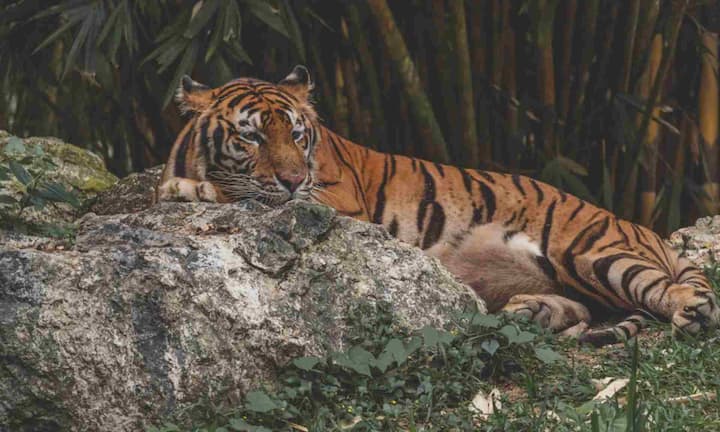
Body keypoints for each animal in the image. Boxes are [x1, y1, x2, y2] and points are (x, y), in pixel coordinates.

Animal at [157, 65, 720, 346]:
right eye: (251, 136)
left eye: (296, 135)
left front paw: (185, 189)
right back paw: (531, 312)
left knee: (663, 292)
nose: (294, 179)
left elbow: (246, 194)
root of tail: (639, 227)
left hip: (591, 250)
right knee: (590, 306)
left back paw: (691, 311)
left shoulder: (336, 203)